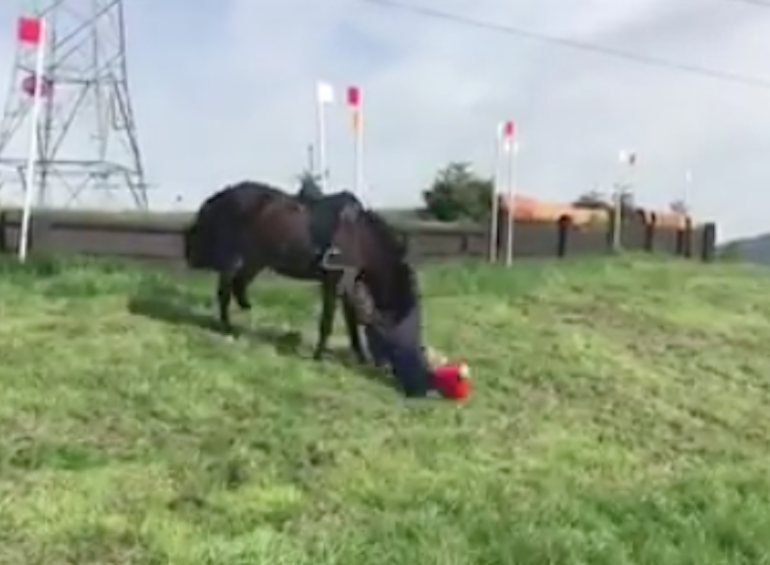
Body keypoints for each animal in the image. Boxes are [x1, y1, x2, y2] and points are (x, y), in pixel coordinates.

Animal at [183, 179, 413, 363]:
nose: (386, 363)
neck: (359, 235)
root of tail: (220, 197)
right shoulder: (332, 282)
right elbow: (328, 321)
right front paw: (318, 355)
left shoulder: (347, 284)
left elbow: (351, 322)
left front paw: (361, 357)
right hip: (235, 259)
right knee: (225, 291)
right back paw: (227, 328)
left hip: (255, 259)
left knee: (238, 286)